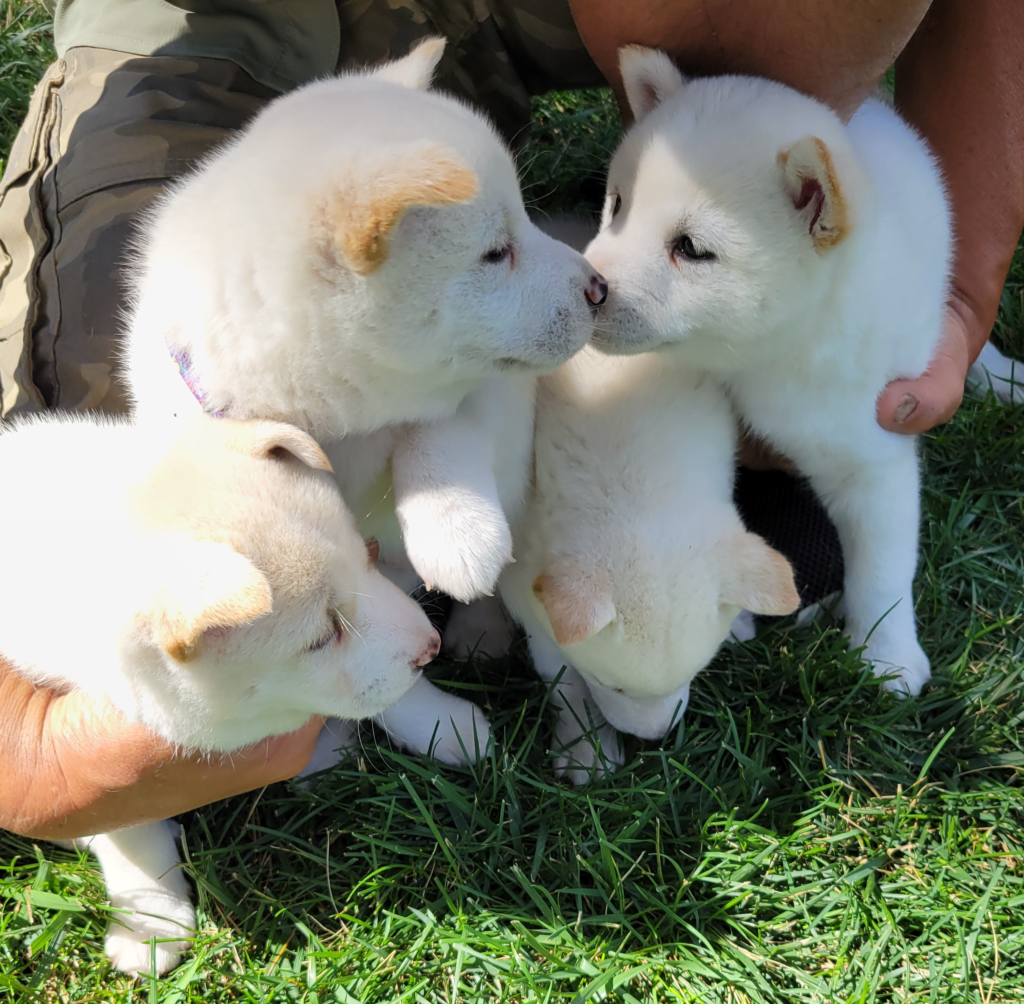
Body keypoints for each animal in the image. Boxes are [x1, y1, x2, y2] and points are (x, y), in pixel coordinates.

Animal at [0, 411, 436, 975]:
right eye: (321, 637)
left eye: (369, 555)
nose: (433, 646)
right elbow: (128, 829)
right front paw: (151, 924)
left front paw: (444, 720)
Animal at [118, 37, 598, 762]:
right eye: (495, 253)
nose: (600, 287)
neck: (339, 429)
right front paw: (439, 729)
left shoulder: (484, 392)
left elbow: (442, 431)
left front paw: (457, 531)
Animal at [497, 344, 798, 782]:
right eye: (611, 685)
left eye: (695, 674)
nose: (655, 737)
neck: (633, 479)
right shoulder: (527, 578)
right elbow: (563, 676)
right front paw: (586, 746)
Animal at [585, 48, 950, 696]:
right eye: (617, 205)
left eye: (692, 248)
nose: (582, 286)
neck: (762, 357)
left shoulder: (871, 450)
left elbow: (884, 567)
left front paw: (888, 654)